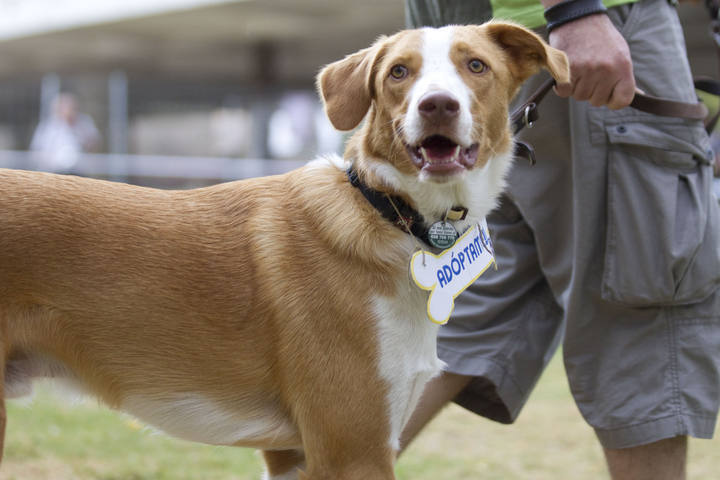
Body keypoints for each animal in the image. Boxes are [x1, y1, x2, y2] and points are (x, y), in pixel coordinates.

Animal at [0, 21, 568, 480]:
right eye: (399, 73)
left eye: (476, 66)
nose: (437, 105)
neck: (391, 212)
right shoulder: (353, 452)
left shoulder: (296, 455)